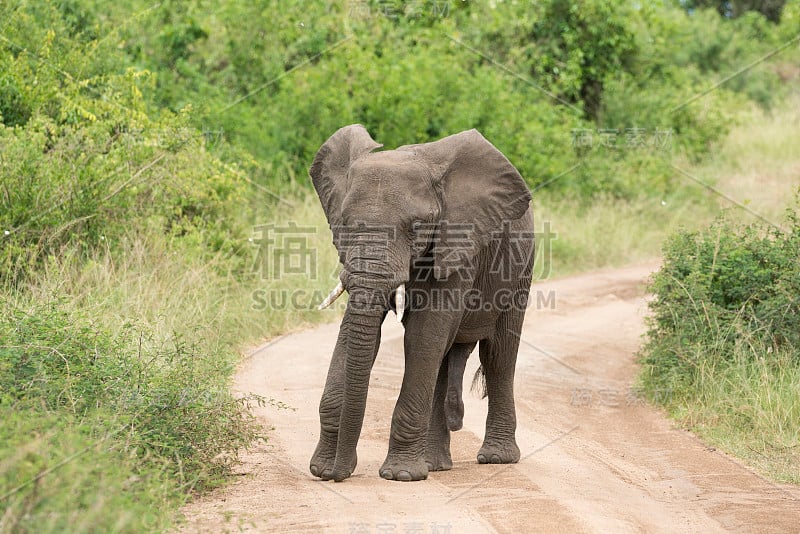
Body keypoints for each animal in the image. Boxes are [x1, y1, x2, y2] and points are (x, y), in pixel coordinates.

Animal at [310, 125, 536, 486]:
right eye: (343, 222)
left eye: (416, 228)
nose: (336, 475)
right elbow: (354, 334)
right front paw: (320, 467)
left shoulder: (458, 242)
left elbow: (423, 334)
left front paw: (400, 476)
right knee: (442, 359)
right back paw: (436, 464)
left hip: (522, 267)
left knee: (498, 354)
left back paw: (496, 458)